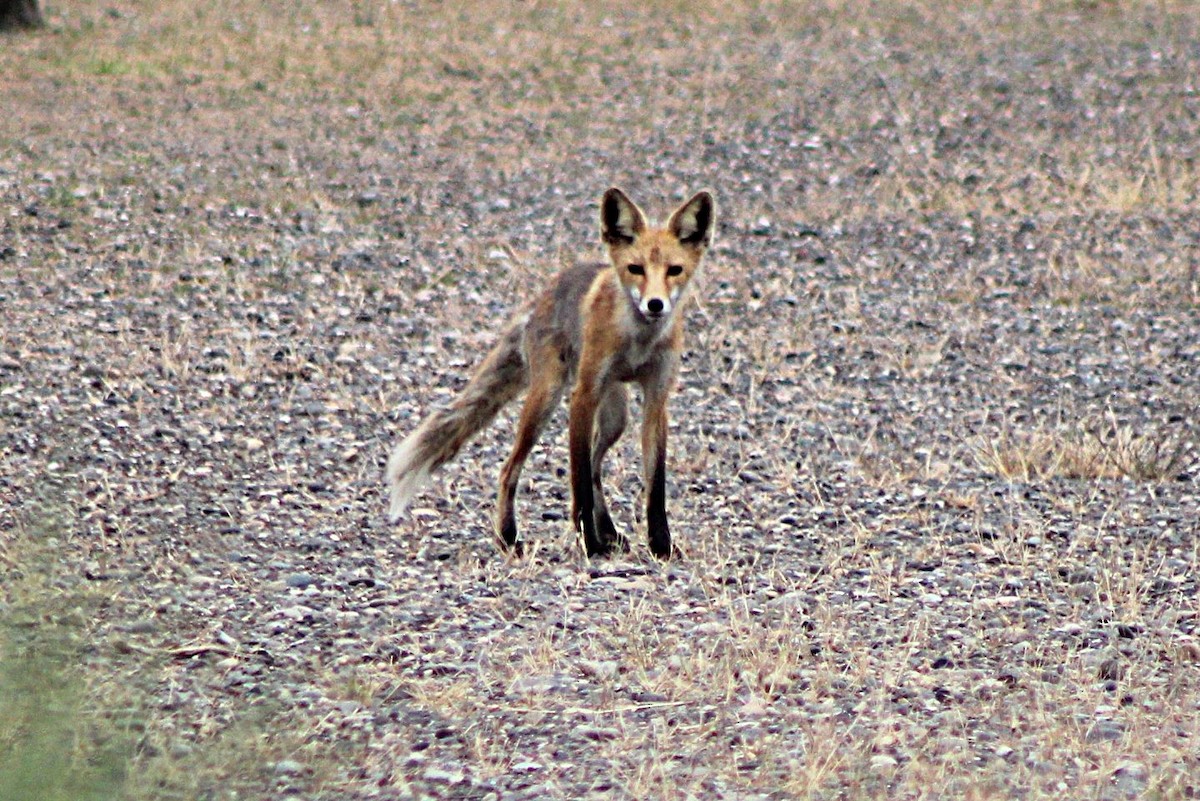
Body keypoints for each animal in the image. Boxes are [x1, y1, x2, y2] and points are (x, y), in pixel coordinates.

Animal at [386, 187, 716, 559]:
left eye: (674, 270)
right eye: (636, 269)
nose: (655, 305)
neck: (638, 342)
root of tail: (542, 294)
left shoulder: (657, 399)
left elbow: (654, 485)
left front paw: (661, 546)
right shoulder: (583, 396)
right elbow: (578, 480)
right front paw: (590, 544)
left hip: (616, 416)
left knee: (596, 465)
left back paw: (609, 532)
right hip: (547, 398)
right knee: (511, 468)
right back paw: (509, 537)